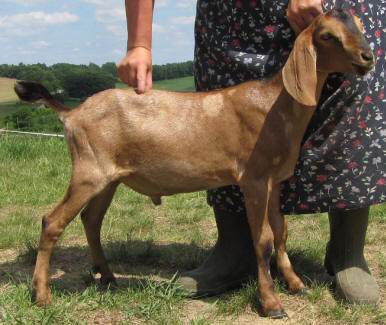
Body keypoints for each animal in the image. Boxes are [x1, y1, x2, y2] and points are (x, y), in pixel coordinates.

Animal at [15, 9, 374, 316]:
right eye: (328, 35)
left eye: (358, 24)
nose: (367, 58)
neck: (273, 104)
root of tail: (71, 114)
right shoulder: (254, 179)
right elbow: (263, 240)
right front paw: (272, 303)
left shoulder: (275, 181)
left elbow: (281, 232)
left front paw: (296, 283)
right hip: (88, 171)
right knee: (52, 222)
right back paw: (42, 295)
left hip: (108, 179)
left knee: (91, 220)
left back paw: (107, 277)